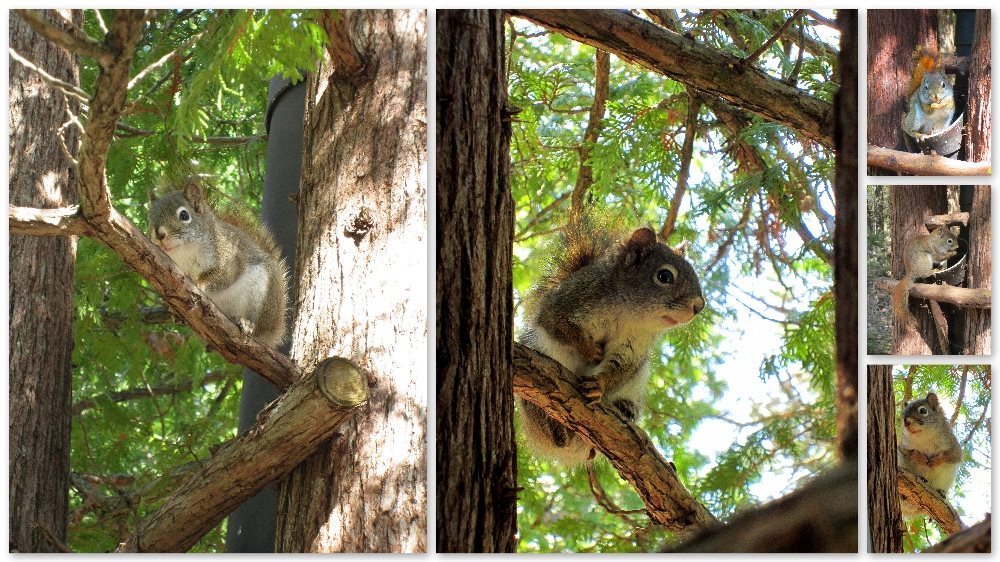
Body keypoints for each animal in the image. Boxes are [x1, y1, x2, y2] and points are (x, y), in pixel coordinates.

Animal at [148, 179, 289, 348]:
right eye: (149, 218)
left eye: (184, 215)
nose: (159, 234)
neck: (184, 254)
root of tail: (276, 329)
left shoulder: (230, 258)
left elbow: (222, 277)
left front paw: (199, 282)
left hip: (259, 295)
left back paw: (246, 323)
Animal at [517, 224, 705, 465]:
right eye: (665, 276)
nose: (699, 306)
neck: (628, 313)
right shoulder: (566, 302)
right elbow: (560, 326)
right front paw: (589, 349)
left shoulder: (633, 346)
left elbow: (621, 367)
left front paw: (599, 385)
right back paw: (556, 428)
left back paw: (625, 408)